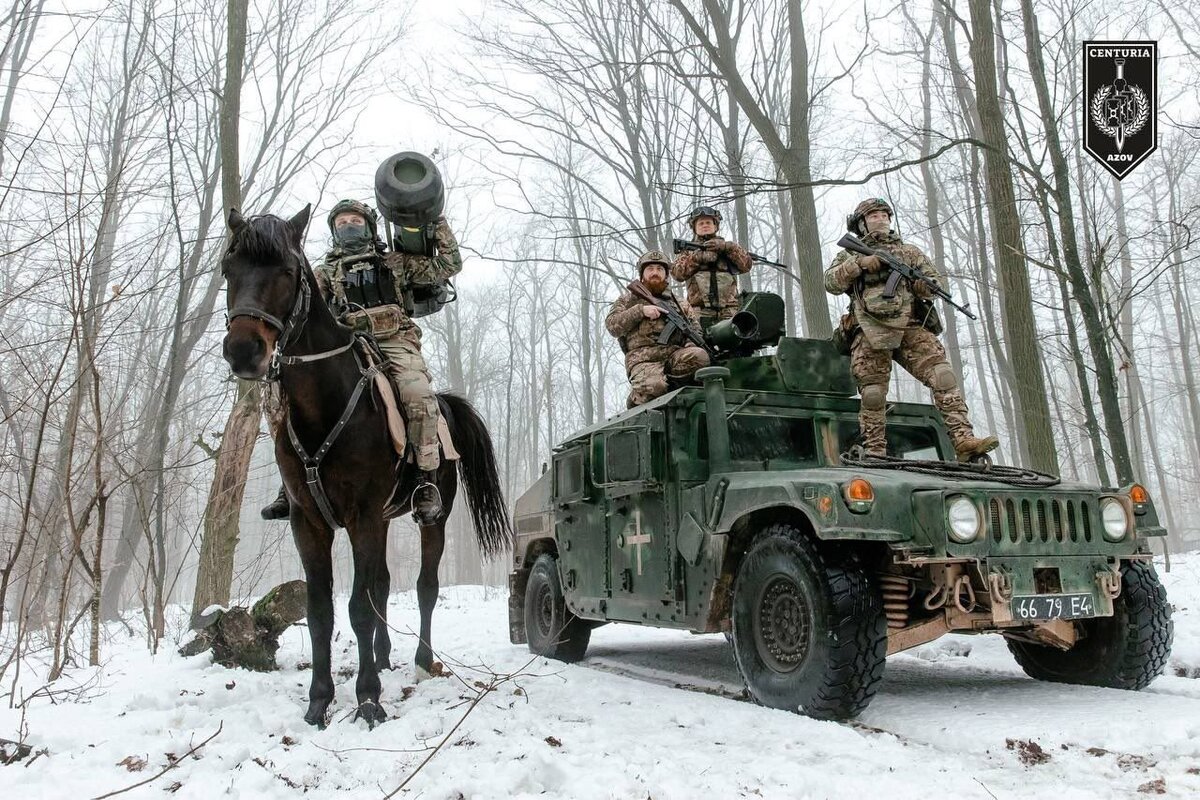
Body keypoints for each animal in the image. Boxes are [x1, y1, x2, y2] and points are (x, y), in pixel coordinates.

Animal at [220, 205, 511, 724]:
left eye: (288, 272)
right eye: (227, 270)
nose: (244, 350)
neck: (325, 405)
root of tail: (444, 403)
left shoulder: (363, 517)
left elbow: (357, 606)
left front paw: (369, 699)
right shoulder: (309, 522)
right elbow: (322, 611)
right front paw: (319, 701)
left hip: (430, 516)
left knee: (424, 586)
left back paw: (421, 661)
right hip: (385, 518)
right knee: (383, 585)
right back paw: (383, 654)